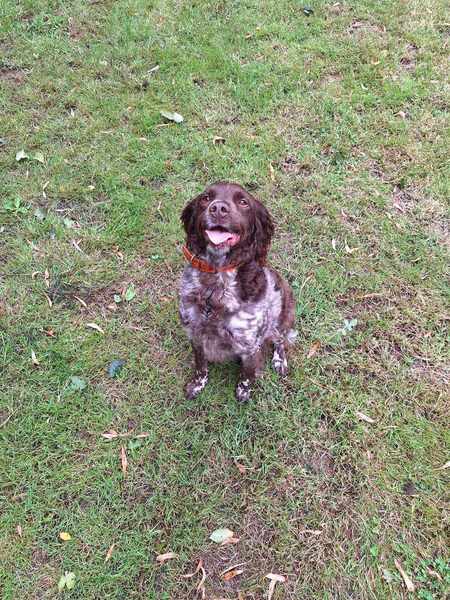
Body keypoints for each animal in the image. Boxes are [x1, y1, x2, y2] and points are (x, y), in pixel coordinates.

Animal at [179, 182, 296, 402]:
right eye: (206, 198)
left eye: (243, 202)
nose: (218, 208)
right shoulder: (195, 334)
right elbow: (200, 366)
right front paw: (197, 385)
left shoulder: (249, 346)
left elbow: (247, 375)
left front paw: (243, 392)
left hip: (284, 316)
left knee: (280, 340)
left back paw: (279, 361)